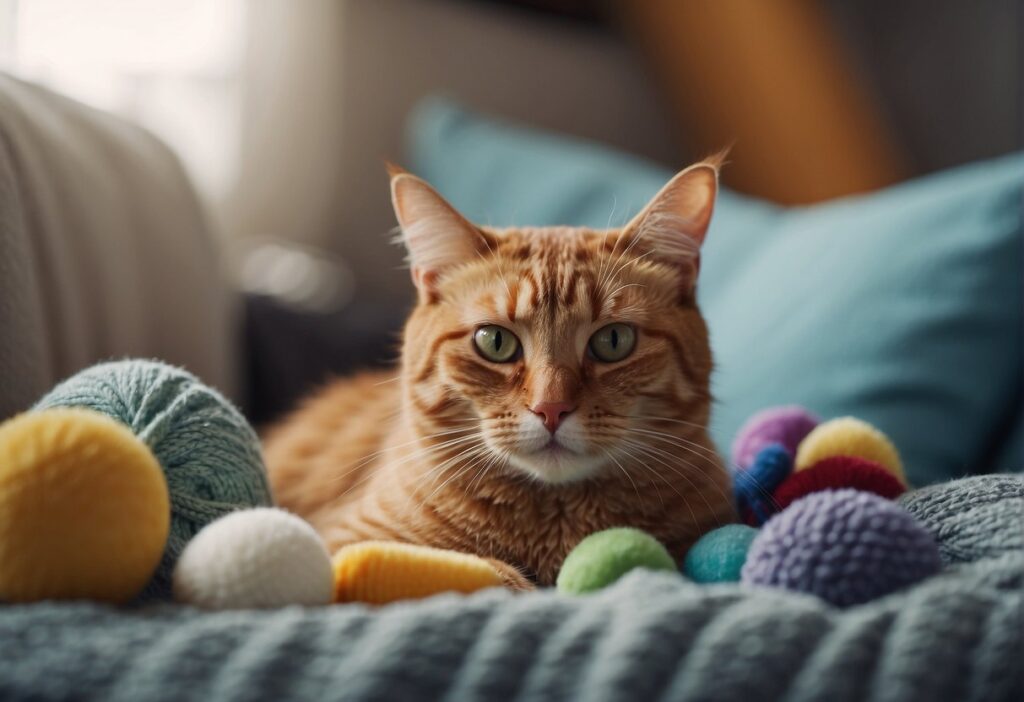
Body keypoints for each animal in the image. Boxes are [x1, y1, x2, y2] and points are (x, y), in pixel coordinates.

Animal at [260, 158, 733, 589]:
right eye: (495, 342)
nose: (551, 408)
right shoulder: (341, 542)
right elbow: (474, 570)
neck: (554, 524)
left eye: (613, 341)